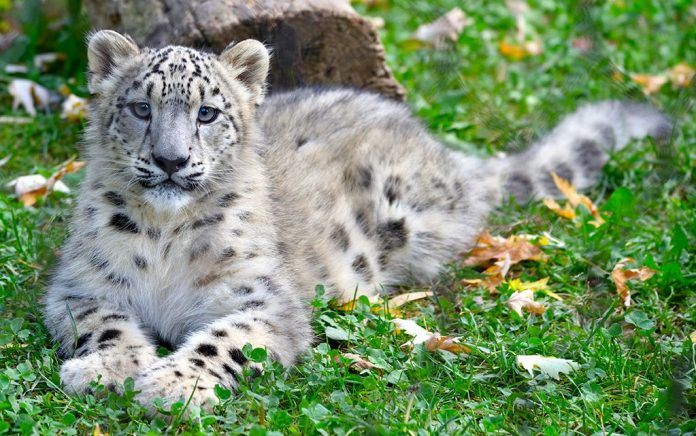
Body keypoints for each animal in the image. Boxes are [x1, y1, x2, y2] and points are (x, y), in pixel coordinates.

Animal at [44, 30, 671, 412]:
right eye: (140, 108)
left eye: (207, 112)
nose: (171, 161)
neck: (165, 235)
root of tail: (437, 146)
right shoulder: (79, 285)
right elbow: (106, 323)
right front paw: (103, 371)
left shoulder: (263, 301)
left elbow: (224, 340)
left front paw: (173, 384)